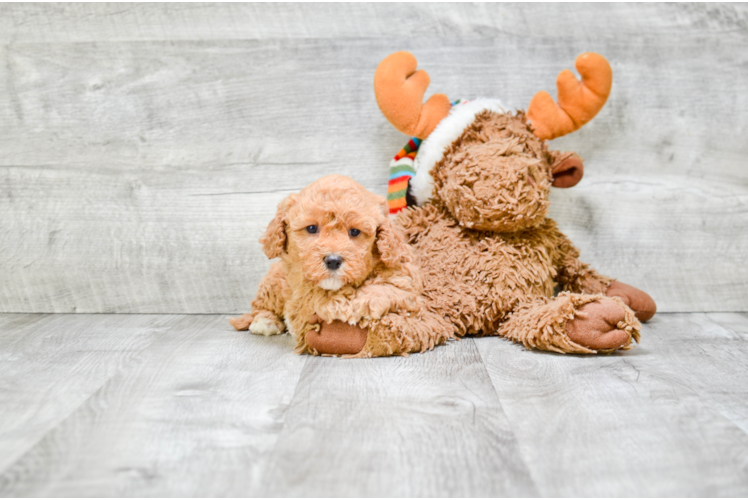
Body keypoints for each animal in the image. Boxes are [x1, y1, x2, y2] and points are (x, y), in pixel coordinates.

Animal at [229, 174, 450, 358]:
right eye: (311, 228)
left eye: (355, 232)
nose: (333, 260)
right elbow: (319, 298)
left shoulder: (404, 279)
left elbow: (387, 288)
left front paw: (364, 303)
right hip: (274, 281)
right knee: (261, 305)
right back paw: (265, 321)